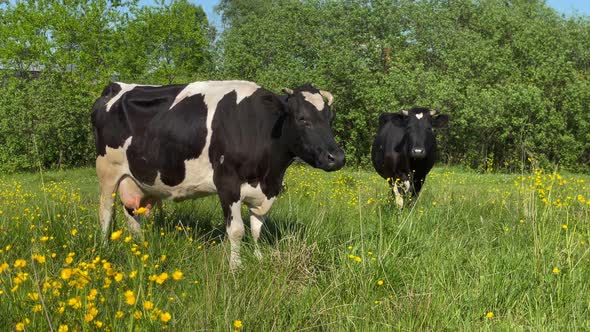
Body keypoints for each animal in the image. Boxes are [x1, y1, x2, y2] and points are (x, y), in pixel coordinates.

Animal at [90, 80, 344, 270]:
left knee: (133, 216)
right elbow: (237, 230)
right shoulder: (227, 183)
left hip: (137, 181)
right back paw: (105, 249)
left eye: (330, 119)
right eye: (302, 118)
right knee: (105, 212)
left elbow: (257, 229)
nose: (337, 157)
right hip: (107, 172)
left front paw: (259, 258)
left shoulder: (265, 189)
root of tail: (114, 86)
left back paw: (140, 248)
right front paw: (236, 267)